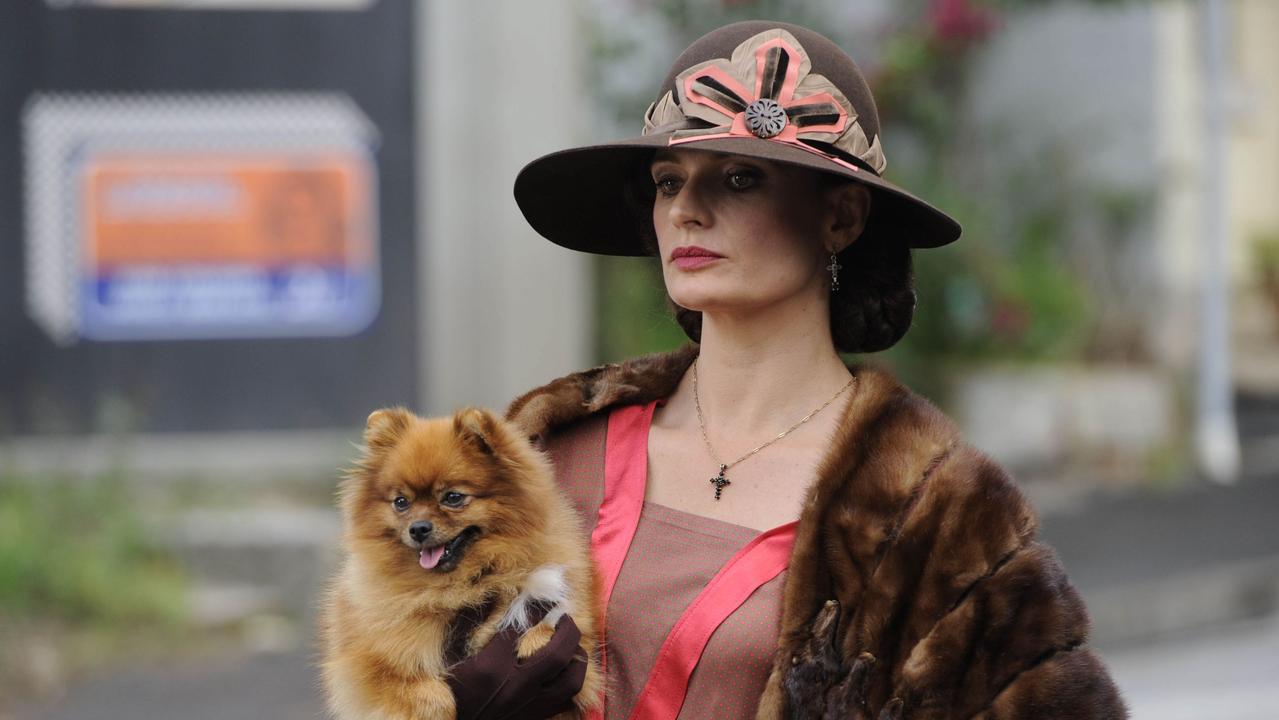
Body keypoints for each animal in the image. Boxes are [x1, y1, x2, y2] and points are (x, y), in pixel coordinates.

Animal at [317, 409, 601, 716]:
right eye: (401, 502)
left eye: (453, 497)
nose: (418, 528)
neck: (462, 584)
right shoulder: (367, 665)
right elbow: (425, 692)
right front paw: (438, 708)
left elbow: (553, 627)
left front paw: (534, 641)